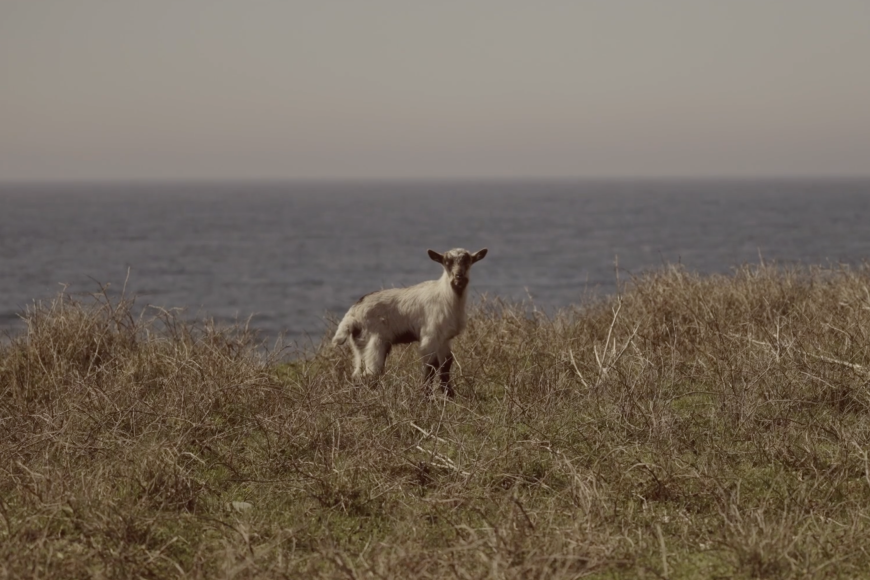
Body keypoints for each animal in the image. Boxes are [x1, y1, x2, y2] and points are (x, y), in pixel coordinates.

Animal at [332, 247, 488, 397]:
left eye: (468, 261)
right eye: (447, 262)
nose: (459, 277)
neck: (446, 296)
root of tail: (352, 315)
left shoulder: (444, 339)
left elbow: (446, 365)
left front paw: (449, 395)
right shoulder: (429, 336)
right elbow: (430, 366)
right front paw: (426, 397)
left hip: (360, 346)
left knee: (357, 374)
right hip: (375, 342)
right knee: (371, 373)